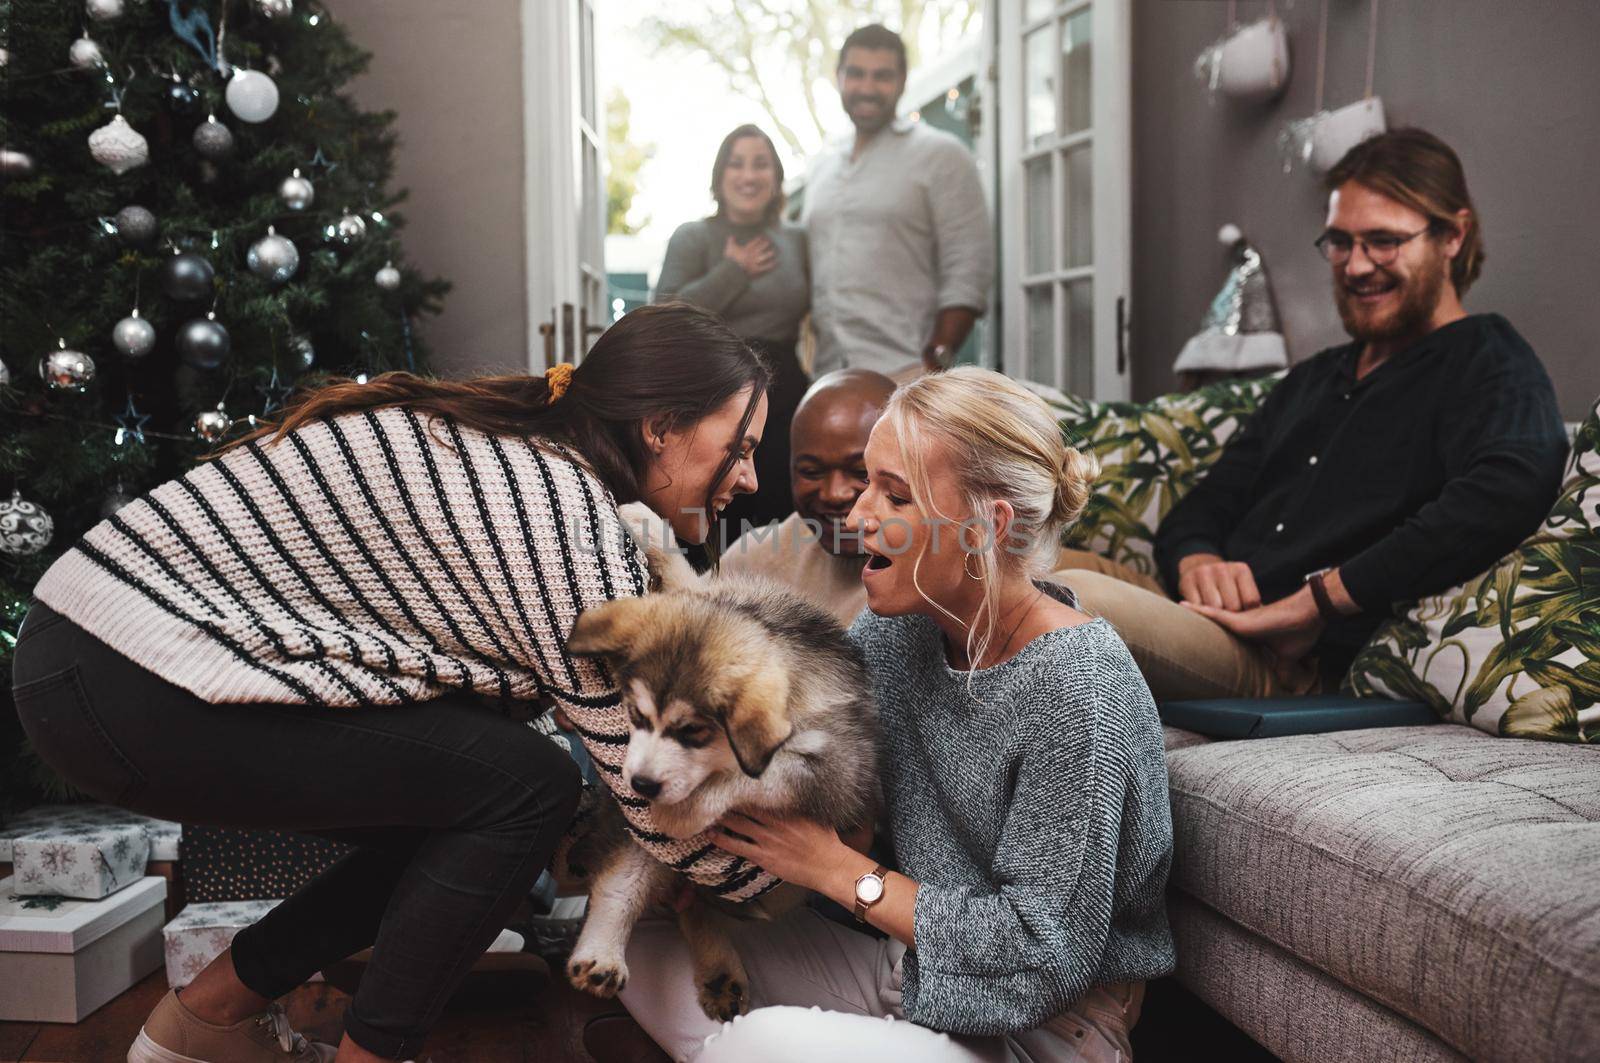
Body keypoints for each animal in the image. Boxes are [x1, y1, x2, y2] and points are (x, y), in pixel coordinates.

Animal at [560, 505, 883, 1024]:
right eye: (635, 715)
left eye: (693, 733)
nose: (640, 785)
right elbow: (687, 584)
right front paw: (646, 523)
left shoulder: (841, 774)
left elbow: (767, 773)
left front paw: (684, 810)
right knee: (626, 880)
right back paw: (602, 957)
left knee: (697, 904)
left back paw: (719, 971)